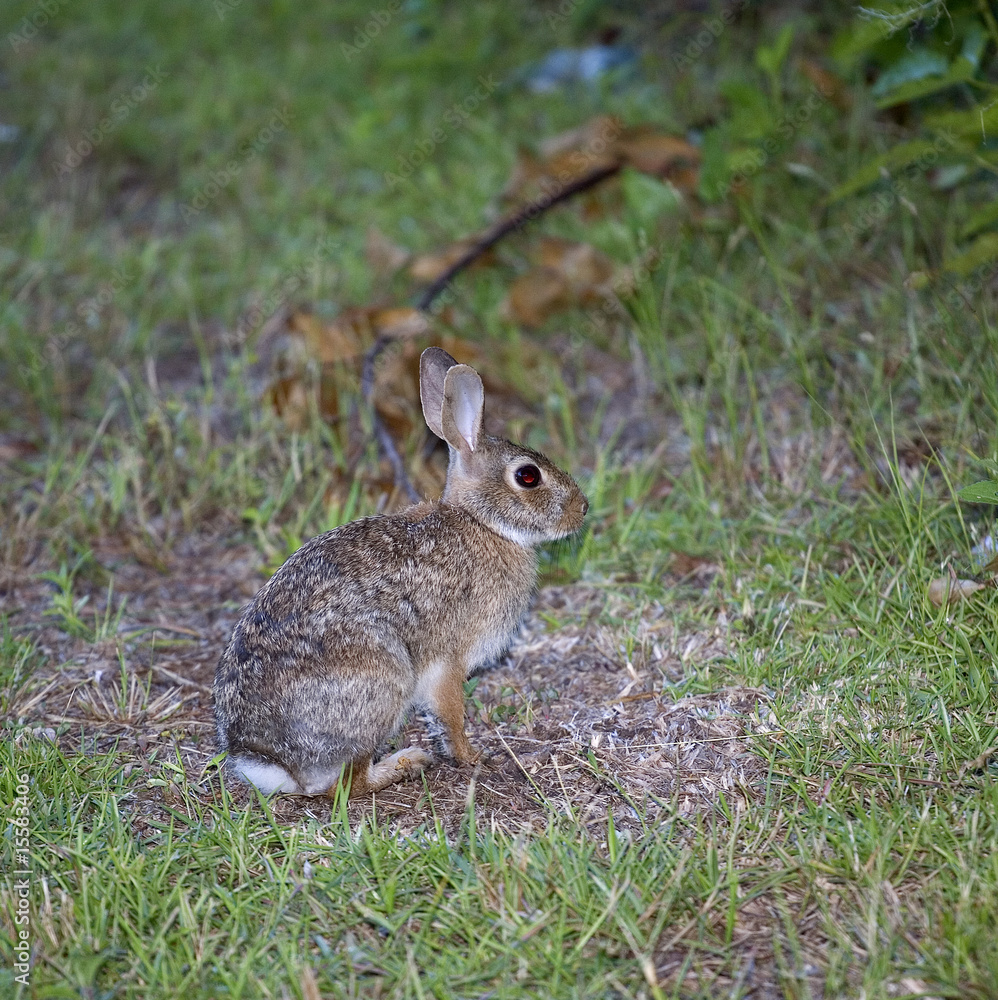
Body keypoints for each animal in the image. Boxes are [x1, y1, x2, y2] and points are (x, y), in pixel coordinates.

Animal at [213, 346, 588, 798]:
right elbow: (451, 715)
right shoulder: (448, 661)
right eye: (528, 476)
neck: (482, 522)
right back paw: (406, 763)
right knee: (345, 785)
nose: (583, 508)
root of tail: (270, 760)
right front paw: (473, 757)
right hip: (384, 682)